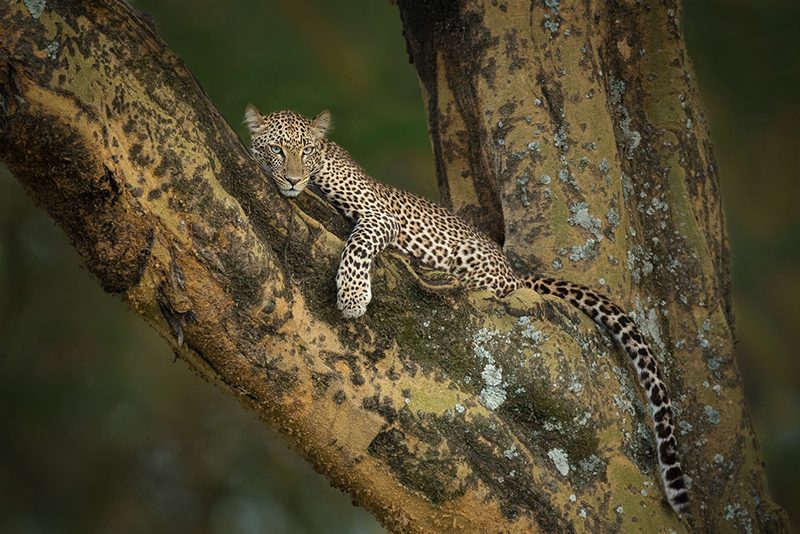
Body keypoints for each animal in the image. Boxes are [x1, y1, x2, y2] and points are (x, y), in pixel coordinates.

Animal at [244, 104, 690, 515]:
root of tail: (513, 272)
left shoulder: (379, 216)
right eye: (278, 150)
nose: (293, 179)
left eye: (305, 150)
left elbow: (358, 242)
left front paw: (353, 295)